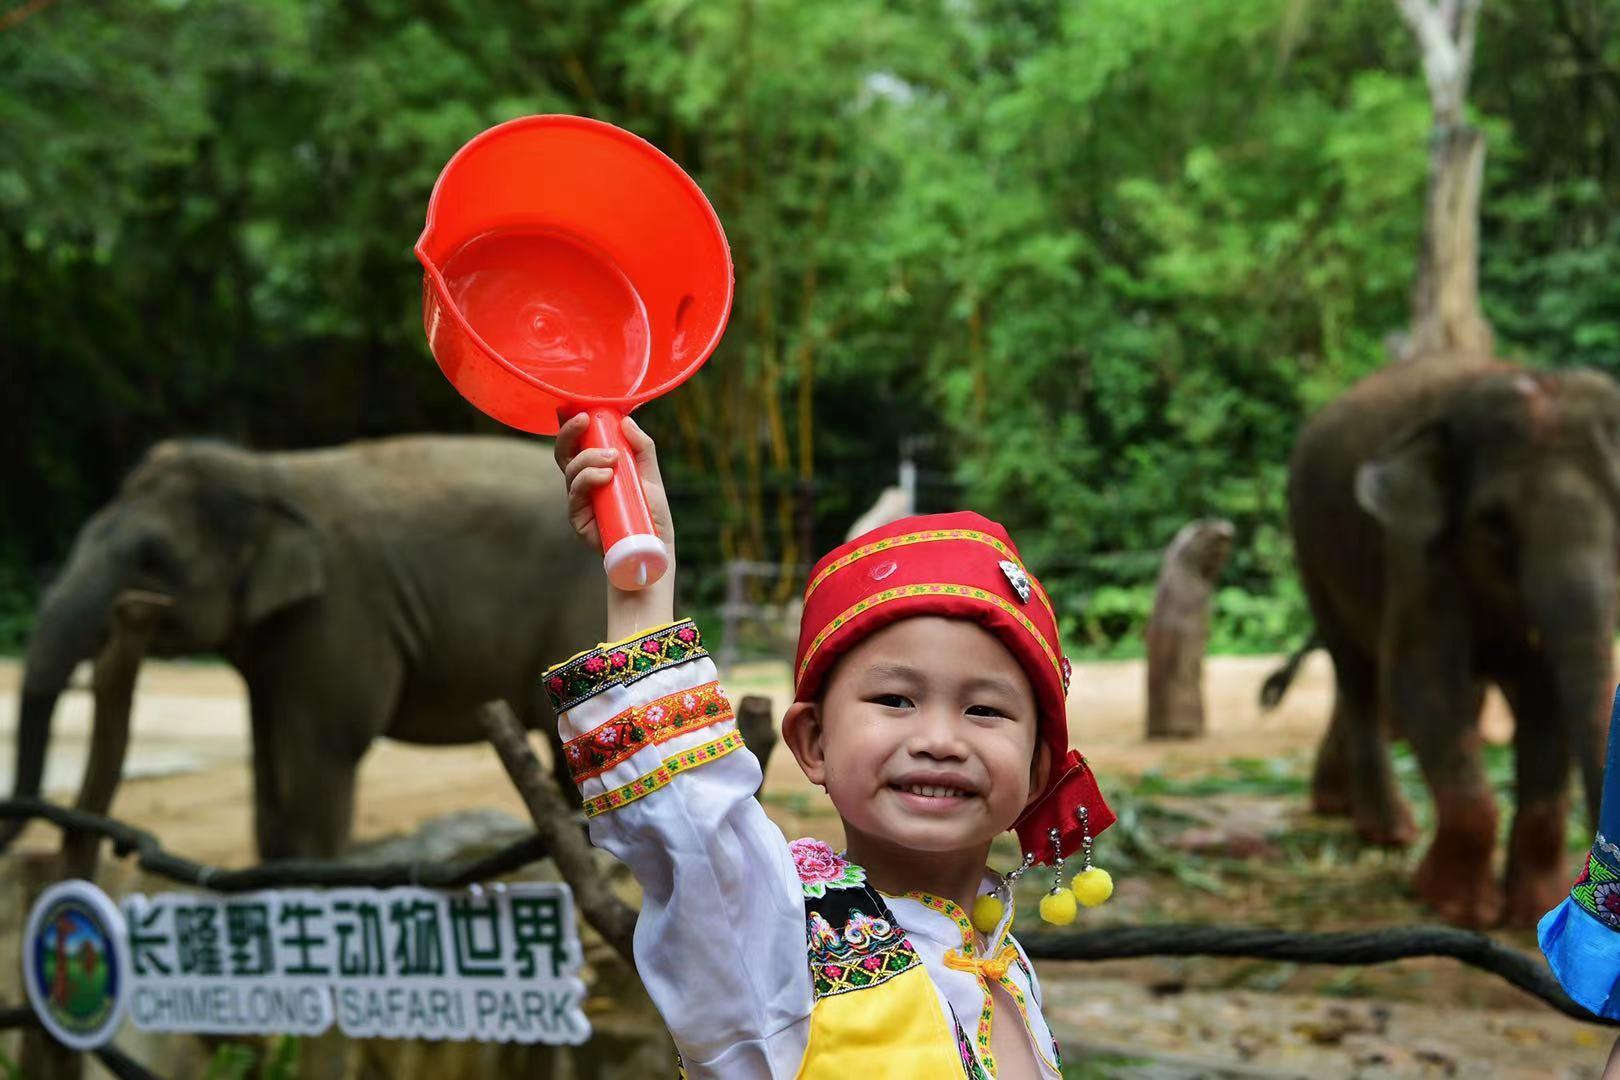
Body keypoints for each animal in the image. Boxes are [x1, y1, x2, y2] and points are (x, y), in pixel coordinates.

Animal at [1289, 356, 1620, 932]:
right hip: (1310, 546)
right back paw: (1389, 832)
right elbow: (1425, 686)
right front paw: (1456, 907)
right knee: (1357, 673)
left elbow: (1545, 699)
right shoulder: (1415, 552)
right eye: (1496, 524)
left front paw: (1531, 909)